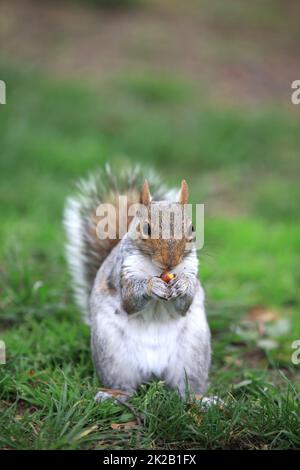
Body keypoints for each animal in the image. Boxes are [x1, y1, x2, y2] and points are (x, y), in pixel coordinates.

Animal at [63, 163, 211, 402]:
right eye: (147, 228)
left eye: (192, 228)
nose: (170, 262)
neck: (158, 271)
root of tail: (153, 371)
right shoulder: (124, 271)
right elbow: (130, 300)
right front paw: (152, 286)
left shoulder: (190, 269)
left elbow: (184, 303)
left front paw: (183, 285)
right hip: (112, 355)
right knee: (125, 386)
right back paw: (114, 396)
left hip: (193, 355)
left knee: (186, 389)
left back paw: (203, 400)